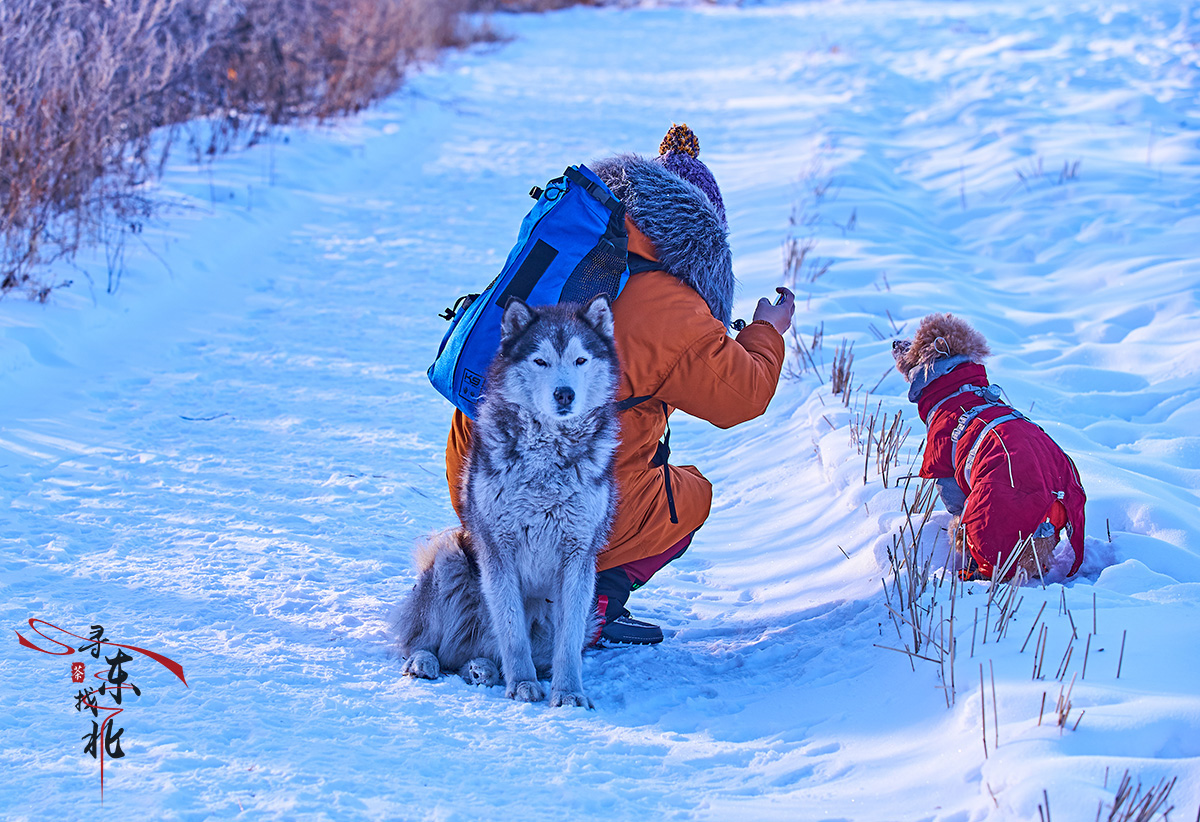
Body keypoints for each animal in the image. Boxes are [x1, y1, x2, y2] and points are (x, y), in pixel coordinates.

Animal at [393, 292, 619, 705]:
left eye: (580, 360)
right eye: (540, 361)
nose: (565, 394)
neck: (548, 461)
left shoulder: (579, 556)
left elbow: (568, 642)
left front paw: (568, 693)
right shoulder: (499, 550)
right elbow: (512, 634)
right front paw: (524, 684)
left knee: (479, 655)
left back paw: (481, 668)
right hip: (449, 558)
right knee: (431, 644)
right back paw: (425, 661)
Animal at [892, 312, 1089, 580]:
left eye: (913, 344)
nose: (894, 343)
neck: (957, 388)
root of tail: (1055, 495)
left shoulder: (946, 471)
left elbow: (952, 498)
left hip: (983, 520)